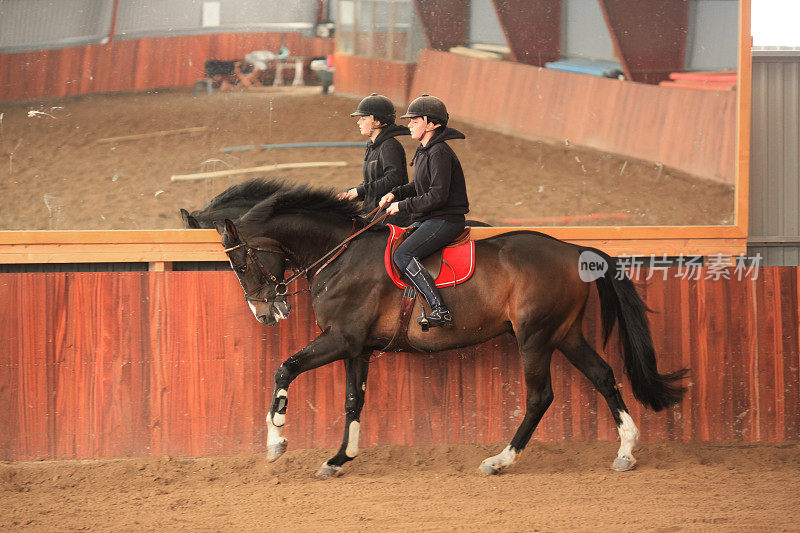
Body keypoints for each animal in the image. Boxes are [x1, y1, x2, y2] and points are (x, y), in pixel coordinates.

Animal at [219, 181, 688, 476]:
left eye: (240, 263)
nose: (265, 313)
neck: (341, 254)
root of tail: (574, 249)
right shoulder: (358, 348)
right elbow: (353, 402)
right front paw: (339, 459)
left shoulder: (340, 340)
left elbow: (285, 368)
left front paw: (276, 442)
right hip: (565, 333)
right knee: (604, 376)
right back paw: (626, 450)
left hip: (534, 337)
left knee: (540, 397)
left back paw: (500, 461)